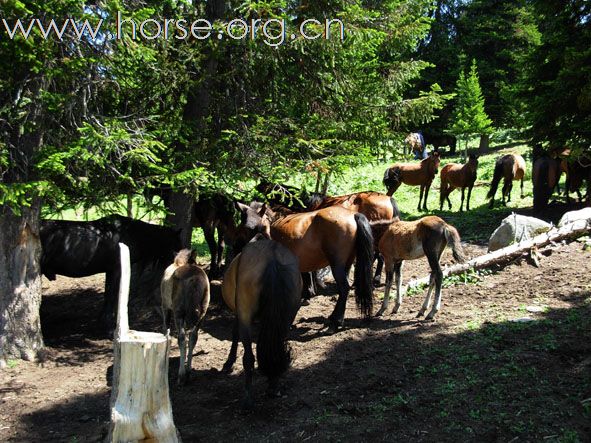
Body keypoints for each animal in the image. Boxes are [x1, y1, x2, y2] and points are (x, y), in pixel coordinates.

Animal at [40, 215, 182, 332]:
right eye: (177, 244)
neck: (130, 234)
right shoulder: (116, 269)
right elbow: (111, 295)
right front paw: (109, 326)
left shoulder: (109, 271)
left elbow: (108, 295)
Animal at [160, 250, 210, 386]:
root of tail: (194, 278)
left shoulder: (165, 307)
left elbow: (166, 330)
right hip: (202, 313)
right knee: (193, 336)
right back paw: (188, 371)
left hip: (178, 313)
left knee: (182, 338)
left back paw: (181, 375)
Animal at [221, 238, 302, 412]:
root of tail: (272, 258)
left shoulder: (239, 314)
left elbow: (235, 334)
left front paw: (229, 362)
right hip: (287, 317)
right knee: (276, 346)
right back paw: (273, 384)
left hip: (245, 315)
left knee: (248, 358)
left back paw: (247, 400)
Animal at [234, 205, 372, 330]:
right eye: (244, 228)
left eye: (261, 228)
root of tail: (353, 215)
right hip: (347, 263)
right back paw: (334, 318)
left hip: (336, 264)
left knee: (344, 288)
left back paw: (336, 321)